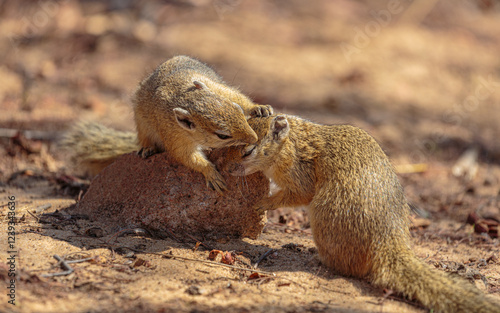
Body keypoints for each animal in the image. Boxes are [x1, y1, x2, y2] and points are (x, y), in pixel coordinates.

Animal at [64, 54, 274, 190]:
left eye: (236, 109)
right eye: (222, 135)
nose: (254, 138)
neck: (184, 96)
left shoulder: (219, 88)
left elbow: (240, 98)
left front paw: (259, 108)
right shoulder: (174, 135)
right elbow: (186, 157)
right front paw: (211, 173)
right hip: (142, 122)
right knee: (145, 138)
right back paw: (147, 148)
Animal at [227, 114, 500, 312]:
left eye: (247, 151)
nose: (228, 169)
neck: (290, 141)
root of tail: (389, 242)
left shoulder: (298, 175)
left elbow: (296, 195)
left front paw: (261, 203)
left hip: (323, 215)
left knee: (346, 266)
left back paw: (318, 258)